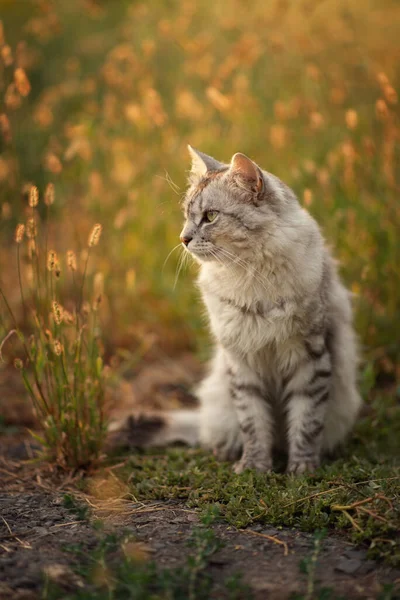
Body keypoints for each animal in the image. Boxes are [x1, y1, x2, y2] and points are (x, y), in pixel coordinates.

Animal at [108, 148, 360, 476]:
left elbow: (305, 423)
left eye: (210, 217)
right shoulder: (241, 361)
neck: (251, 275)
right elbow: (253, 424)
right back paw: (226, 451)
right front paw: (254, 468)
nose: (183, 239)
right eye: (187, 215)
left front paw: (301, 470)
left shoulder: (310, 356)